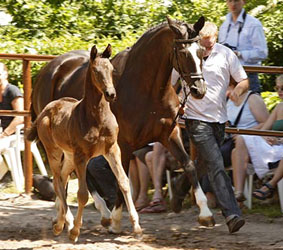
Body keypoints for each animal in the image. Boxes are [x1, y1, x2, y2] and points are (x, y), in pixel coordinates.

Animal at [26, 45, 142, 242]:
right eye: (95, 71)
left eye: (112, 70)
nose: (111, 94)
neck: (96, 118)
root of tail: (45, 110)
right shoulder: (82, 156)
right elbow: (82, 194)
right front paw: (75, 231)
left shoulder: (112, 149)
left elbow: (123, 182)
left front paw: (136, 226)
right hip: (54, 152)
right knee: (57, 182)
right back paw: (62, 225)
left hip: (69, 155)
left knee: (62, 179)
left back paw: (61, 222)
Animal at [31, 16, 215, 230]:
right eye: (184, 52)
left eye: (201, 51)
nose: (199, 90)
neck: (145, 90)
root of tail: (48, 70)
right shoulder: (123, 144)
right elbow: (122, 177)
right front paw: (118, 219)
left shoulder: (169, 135)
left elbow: (189, 165)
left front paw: (205, 213)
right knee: (66, 174)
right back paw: (79, 216)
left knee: (71, 173)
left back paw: (82, 214)